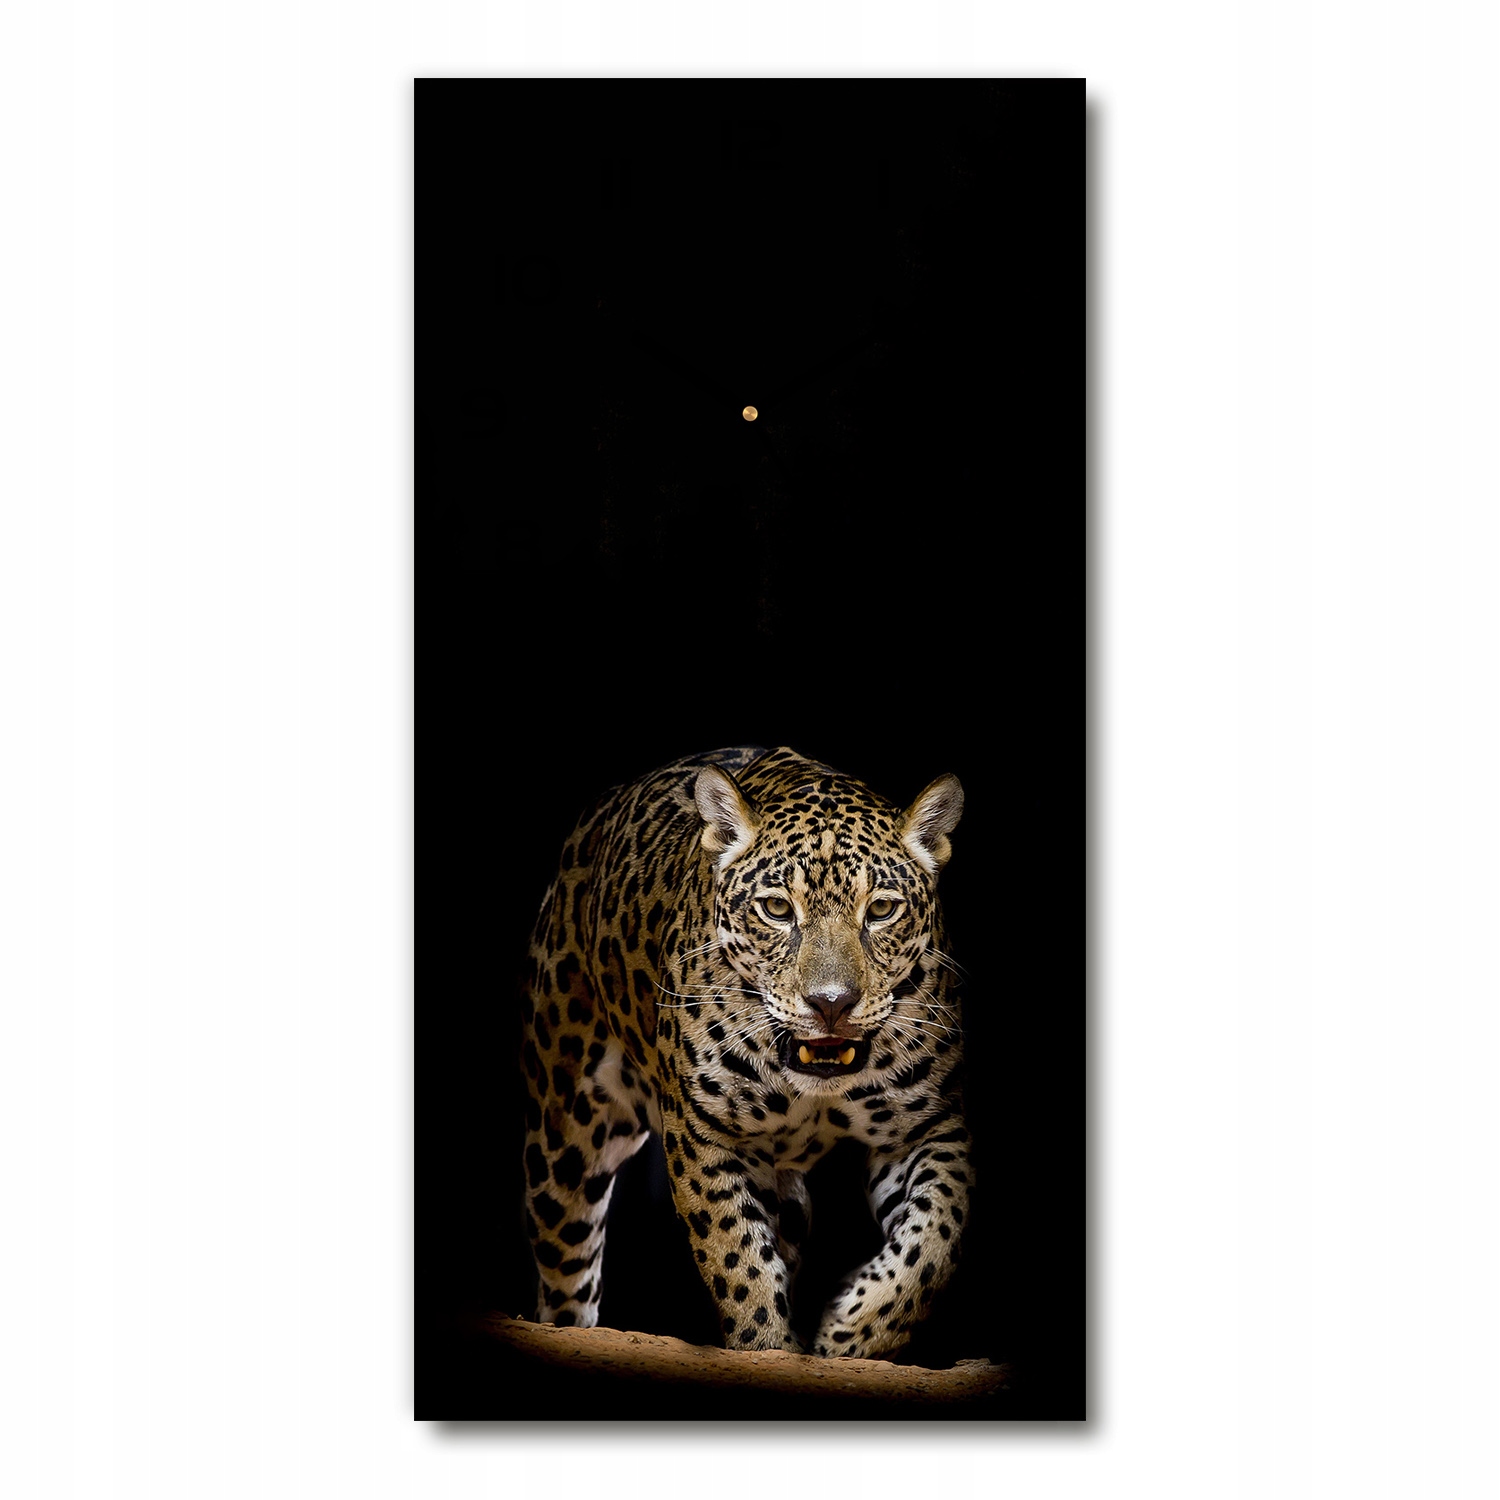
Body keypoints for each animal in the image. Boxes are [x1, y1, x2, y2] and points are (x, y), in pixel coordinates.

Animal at [519, 745, 971, 1357]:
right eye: (777, 909)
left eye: (880, 911)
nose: (831, 1003)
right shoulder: (705, 1135)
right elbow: (738, 1263)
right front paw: (769, 1345)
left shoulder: (928, 1127)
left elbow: (934, 1241)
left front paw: (849, 1334)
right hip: (565, 1134)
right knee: (567, 1269)